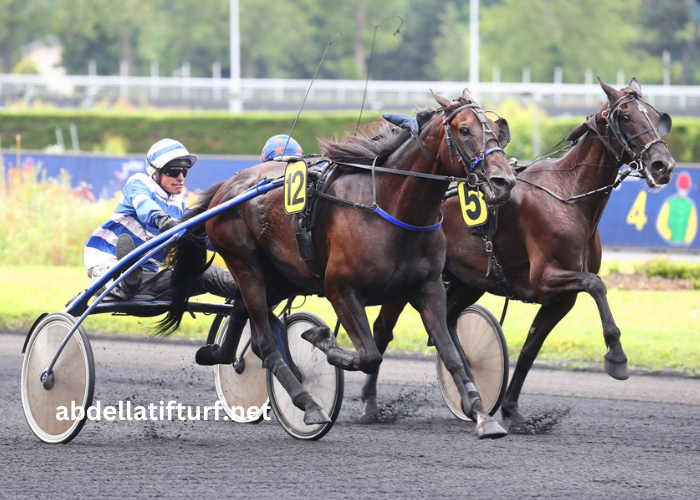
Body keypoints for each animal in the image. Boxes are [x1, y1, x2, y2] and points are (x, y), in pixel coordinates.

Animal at [160, 89, 520, 438]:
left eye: (497, 132)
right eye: (464, 130)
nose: (503, 182)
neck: (391, 206)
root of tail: (227, 186)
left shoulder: (428, 287)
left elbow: (451, 354)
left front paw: (481, 414)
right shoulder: (339, 287)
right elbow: (369, 354)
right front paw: (322, 340)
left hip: (282, 275)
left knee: (241, 311)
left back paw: (218, 354)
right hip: (244, 262)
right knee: (264, 342)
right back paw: (308, 405)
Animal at [364, 77, 676, 430]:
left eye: (655, 115)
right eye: (625, 116)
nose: (663, 165)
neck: (569, 195)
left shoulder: (561, 298)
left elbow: (530, 349)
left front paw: (512, 409)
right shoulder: (545, 278)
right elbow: (596, 284)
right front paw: (617, 358)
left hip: (467, 281)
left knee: (448, 321)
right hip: (409, 280)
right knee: (383, 329)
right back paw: (370, 404)